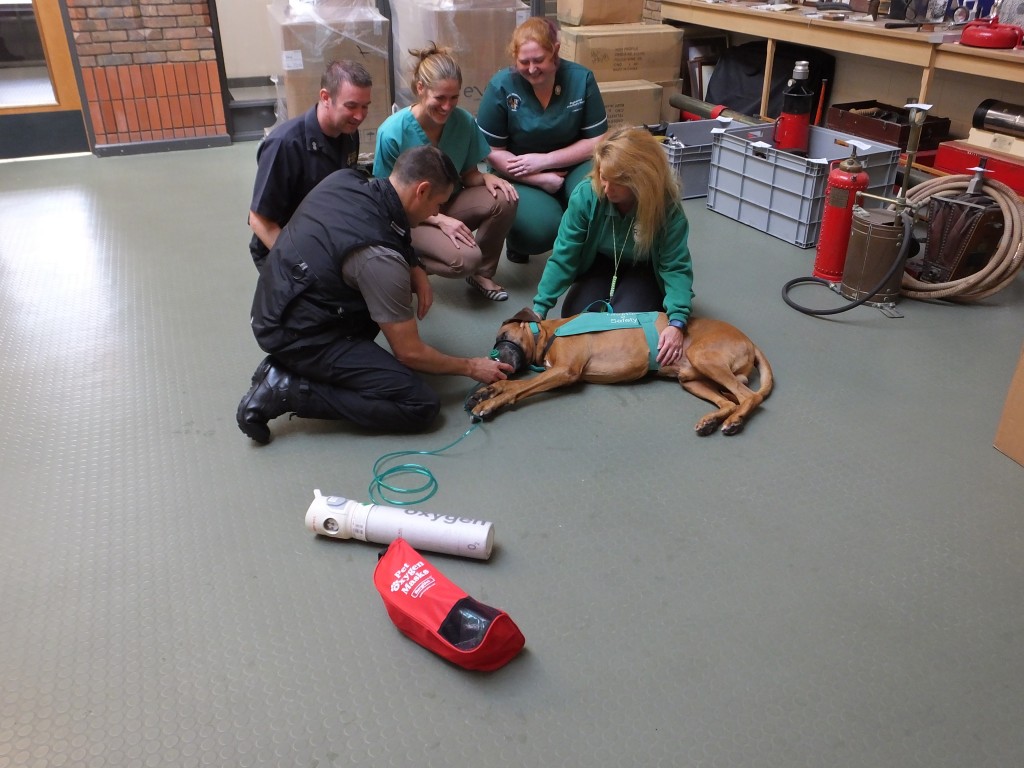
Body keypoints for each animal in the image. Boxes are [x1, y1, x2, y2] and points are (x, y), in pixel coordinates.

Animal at [468, 309, 770, 436]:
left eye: (502, 336)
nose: (494, 358)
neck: (551, 333)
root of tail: (750, 341)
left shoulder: (566, 371)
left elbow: (519, 387)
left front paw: (490, 403)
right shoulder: (557, 373)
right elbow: (513, 385)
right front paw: (487, 391)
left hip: (704, 358)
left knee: (749, 397)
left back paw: (734, 422)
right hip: (691, 379)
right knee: (729, 401)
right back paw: (711, 421)